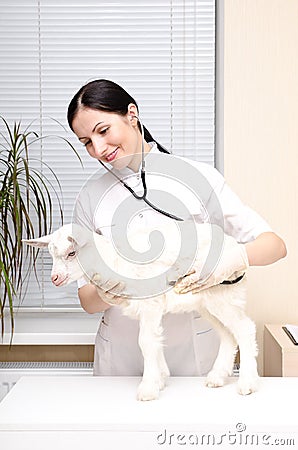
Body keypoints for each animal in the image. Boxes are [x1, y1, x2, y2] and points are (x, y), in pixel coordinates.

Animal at [23, 223, 258, 400]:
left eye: (72, 253)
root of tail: (234, 245)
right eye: (51, 254)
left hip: (222, 293)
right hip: (207, 302)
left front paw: (148, 388)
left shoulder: (150, 305)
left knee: (245, 329)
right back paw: (217, 377)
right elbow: (155, 341)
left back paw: (247, 383)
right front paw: (160, 378)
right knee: (228, 334)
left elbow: (146, 342)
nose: (55, 278)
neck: (114, 262)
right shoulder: (150, 309)